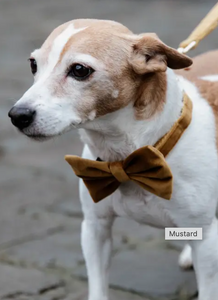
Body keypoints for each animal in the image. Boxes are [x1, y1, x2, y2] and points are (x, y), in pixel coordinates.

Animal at [7, 19, 218, 300]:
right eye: (33, 64)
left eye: (79, 70)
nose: (17, 115)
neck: (130, 160)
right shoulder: (95, 229)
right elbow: (98, 286)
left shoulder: (205, 241)